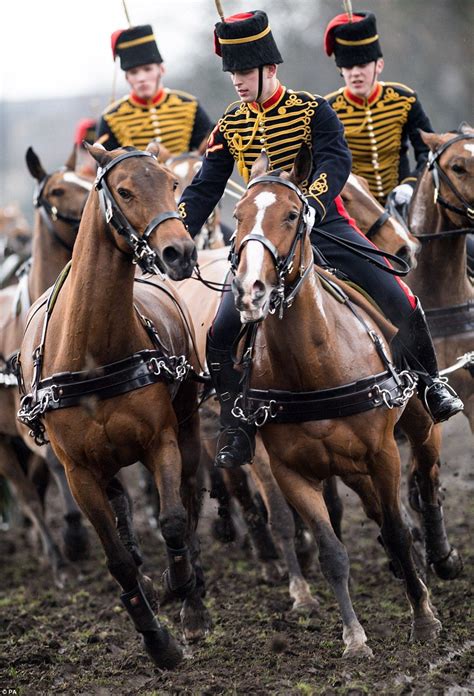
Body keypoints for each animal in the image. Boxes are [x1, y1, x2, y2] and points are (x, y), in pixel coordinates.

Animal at [17, 143, 209, 668]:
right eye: (123, 191)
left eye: (171, 182)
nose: (180, 252)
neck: (91, 353)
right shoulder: (79, 470)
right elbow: (118, 558)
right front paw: (155, 638)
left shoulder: (161, 441)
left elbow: (172, 521)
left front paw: (180, 588)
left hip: (187, 426)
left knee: (190, 497)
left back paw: (194, 598)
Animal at [226, 147, 440, 656]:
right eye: (238, 216)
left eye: (291, 214)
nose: (250, 289)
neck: (313, 362)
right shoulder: (291, 471)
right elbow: (331, 552)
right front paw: (354, 638)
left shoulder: (383, 454)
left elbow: (398, 532)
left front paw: (422, 619)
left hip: (420, 429)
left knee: (423, 486)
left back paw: (437, 558)